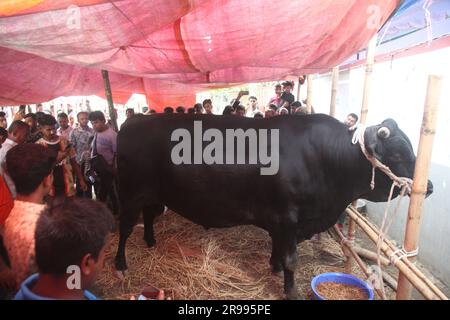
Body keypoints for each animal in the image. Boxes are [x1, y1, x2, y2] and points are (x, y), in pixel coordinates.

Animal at [113, 114, 432, 300]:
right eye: (398, 154)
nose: (427, 187)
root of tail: (131, 123)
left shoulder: (284, 223)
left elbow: (278, 249)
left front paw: (275, 266)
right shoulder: (287, 218)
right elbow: (292, 259)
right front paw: (291, 290)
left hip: (152, 196)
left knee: (148, 217)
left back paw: (150, 240)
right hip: (129, 194)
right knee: (125, 228)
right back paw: (120, 264)